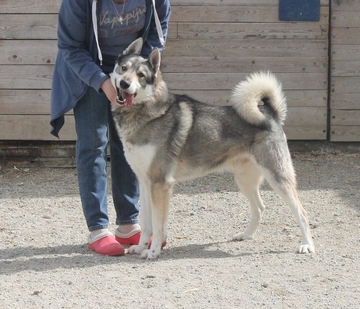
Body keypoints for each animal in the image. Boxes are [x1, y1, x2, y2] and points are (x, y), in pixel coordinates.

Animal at [110, 38, 316, 260]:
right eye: (123, 69)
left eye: (141, 75)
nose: (125, 84)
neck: (146, 112)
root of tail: (271, 113)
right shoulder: (145, 183)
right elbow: (146, 223)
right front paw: (140, 247)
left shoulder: (160, 184)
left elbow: (157, 226)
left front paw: (154, 250)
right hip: (244, 181)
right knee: (260, 208)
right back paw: (246, 235)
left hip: (278, 178)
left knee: (302, 213)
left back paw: (306, 245)